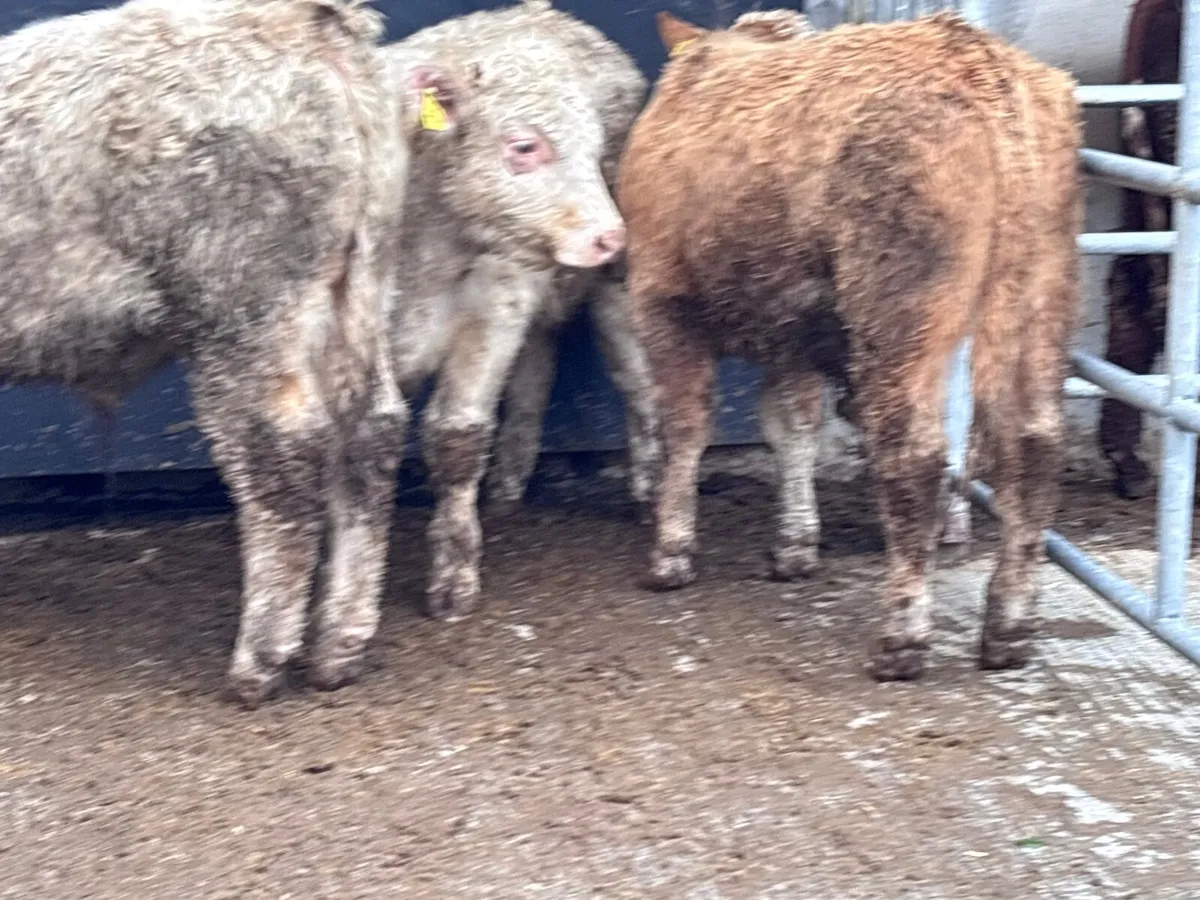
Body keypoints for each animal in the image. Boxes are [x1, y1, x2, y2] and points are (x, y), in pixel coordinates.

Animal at [0, 0, 413, 707]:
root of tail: (300, 22)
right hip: (359, 285)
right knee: (371, 433)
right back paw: (339, 645)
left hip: (241, 305)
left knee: (281, 459)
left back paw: (260, 662)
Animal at [381, 0, 661, 620]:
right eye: (525, 146)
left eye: (593, 149)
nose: (610, 237)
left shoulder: (491, 306)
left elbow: (456, 438)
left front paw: (454, 576)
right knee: (535, 378)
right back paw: (508, 486)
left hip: (613, 292)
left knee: (640, 387)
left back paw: (649, 492)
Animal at [617, 10, 1082, 679]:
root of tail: (974, 57)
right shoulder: (791, 328)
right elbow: (792, 427)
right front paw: (794, 546)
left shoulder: (662, 299)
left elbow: (686, 426)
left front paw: (670, 553)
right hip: (1040, 290)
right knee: (1034, 447)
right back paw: (1009, 628)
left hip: (898, 308)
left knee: (916, 457)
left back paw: (901, 638)